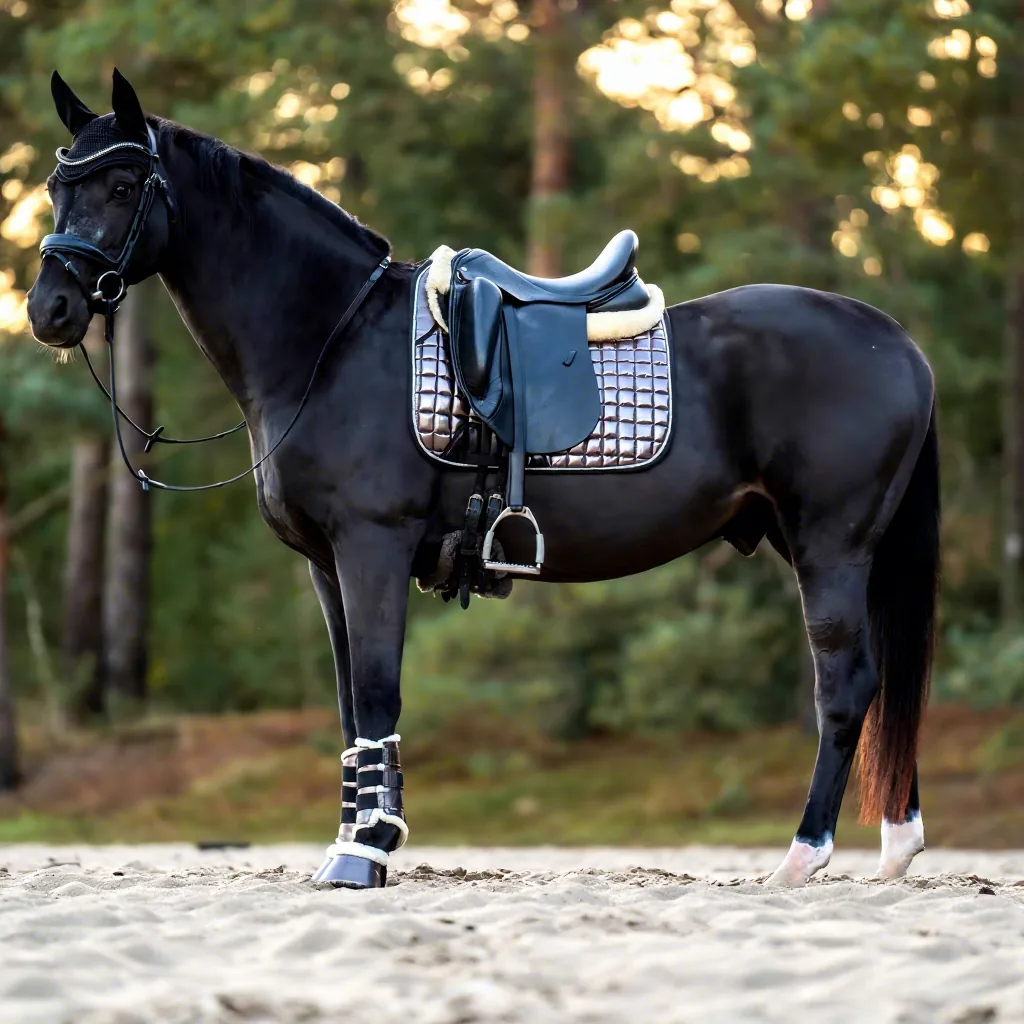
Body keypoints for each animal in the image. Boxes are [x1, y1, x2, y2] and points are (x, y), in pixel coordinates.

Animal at [27, 70, 939, 890]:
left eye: (120, 184)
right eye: (55, 186)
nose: (48, 311)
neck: (331, 338)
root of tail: (897, 341)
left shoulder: (372, 548)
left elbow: (377, 691)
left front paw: (366, 853)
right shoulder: (326, 565)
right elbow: (351, 704)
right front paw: (354, 839)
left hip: (830, 546)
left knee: (847, 685)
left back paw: (803, 856)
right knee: (884, 681)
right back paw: (896, 845)